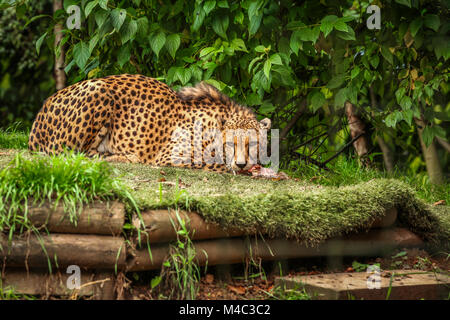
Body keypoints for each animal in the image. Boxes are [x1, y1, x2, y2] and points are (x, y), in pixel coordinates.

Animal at [29, 74, 272, 172]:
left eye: (252, 144)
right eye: (230, 144)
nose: (241, 163)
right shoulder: (172, 156)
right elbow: (213, 163)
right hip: (99, 88)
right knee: (71, 153)